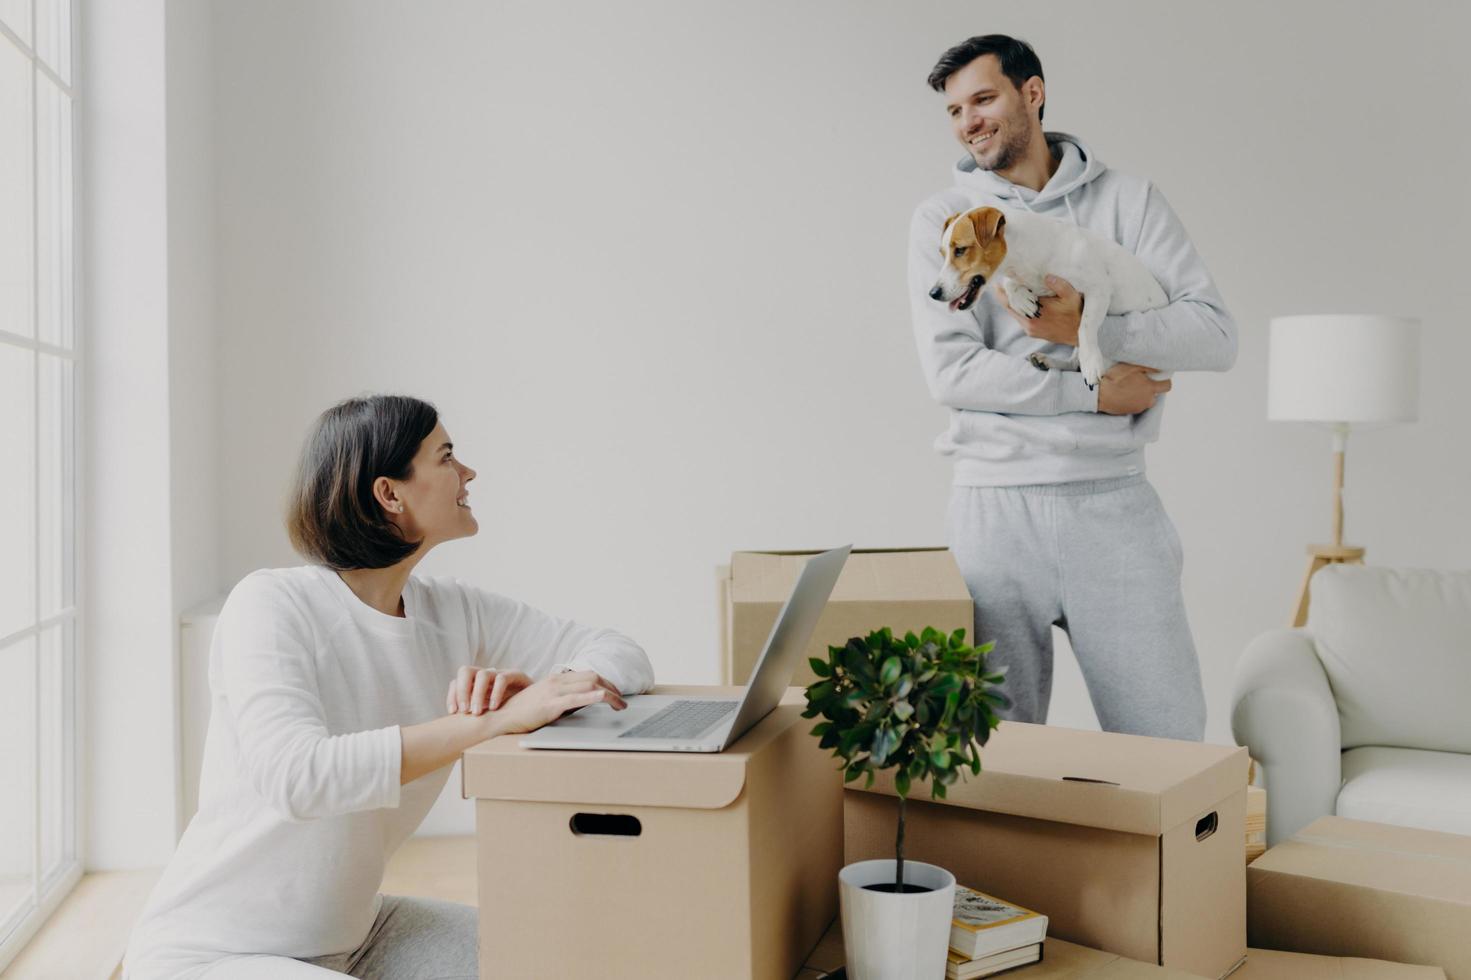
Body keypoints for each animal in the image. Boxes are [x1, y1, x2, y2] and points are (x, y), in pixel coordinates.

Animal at [929, 204, 1170, 388]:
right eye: (942, 254)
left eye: (960, 250)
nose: (933, 293)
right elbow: (1011, 284)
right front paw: (1021, 299)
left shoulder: (1098, 290)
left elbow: (1085, 327)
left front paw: (1091, 362)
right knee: (1073, 363)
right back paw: (1048, 362)